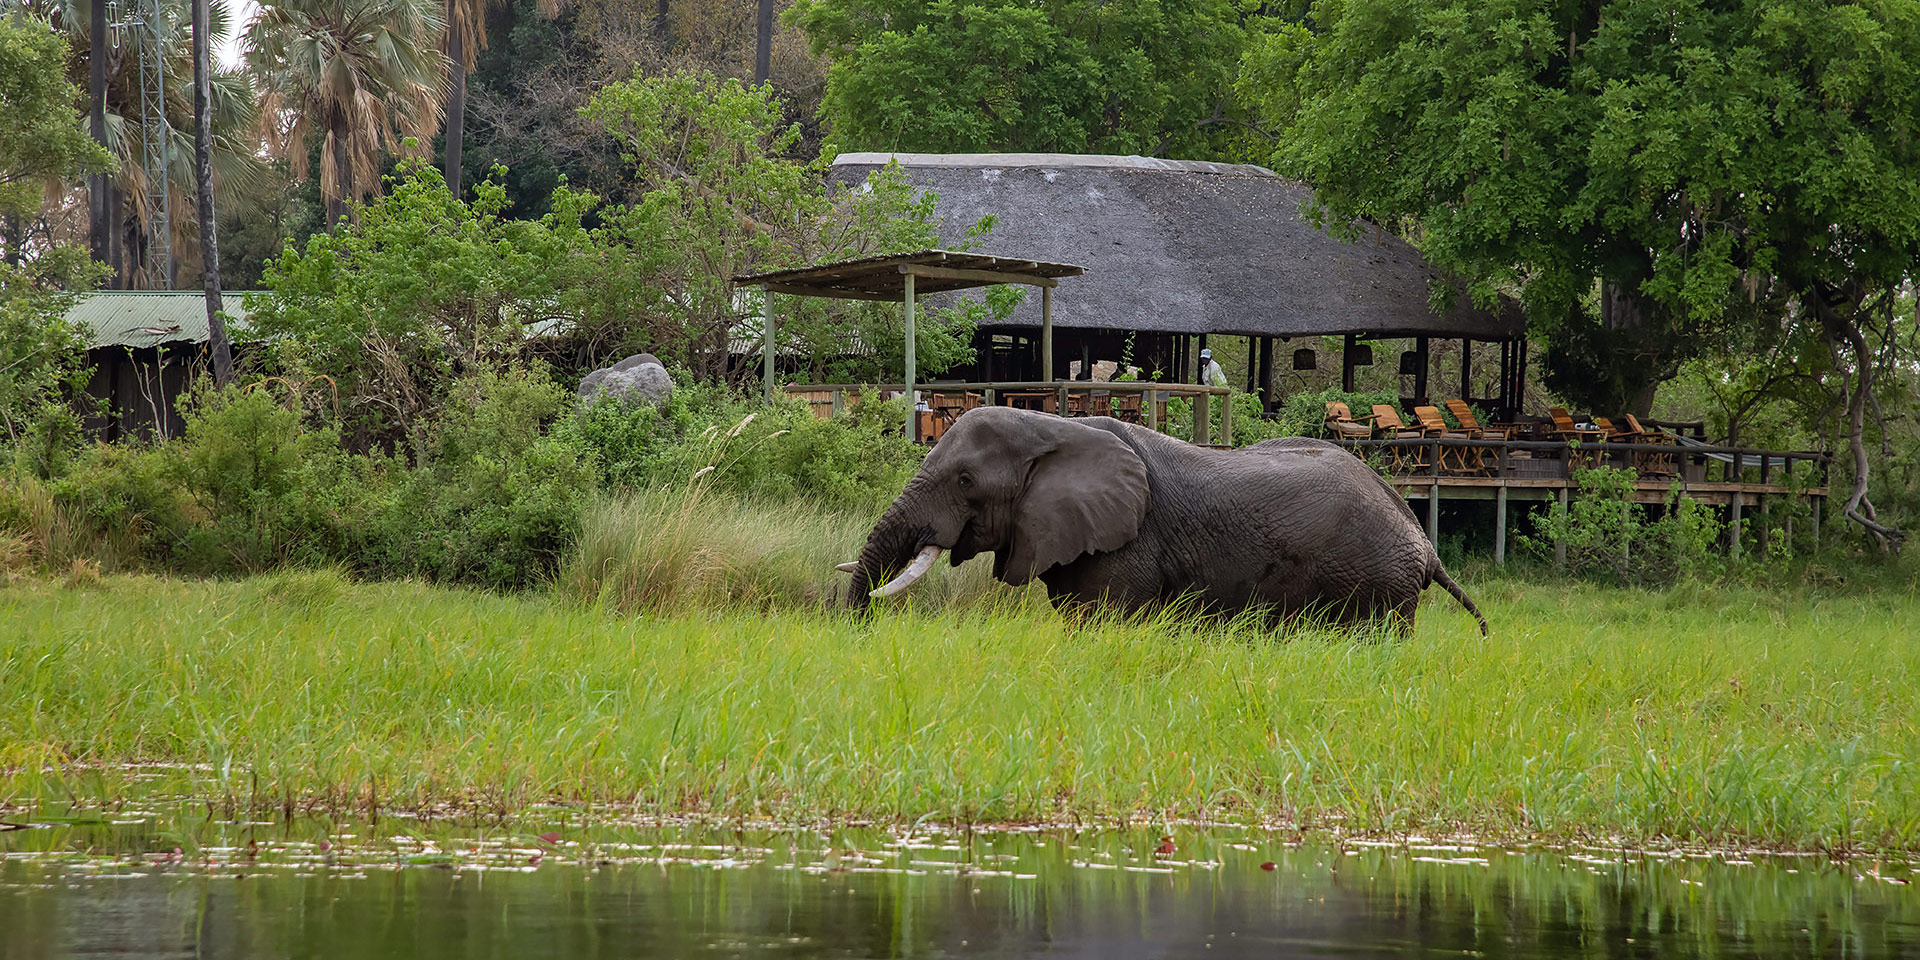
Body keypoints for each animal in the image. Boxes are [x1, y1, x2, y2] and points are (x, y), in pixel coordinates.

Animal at [837, 407, 1482, 637]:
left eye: (966, 482)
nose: (860, 631)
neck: (1052, 424)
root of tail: (1422, 540)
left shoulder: (1127, 547)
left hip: (1376, 587)